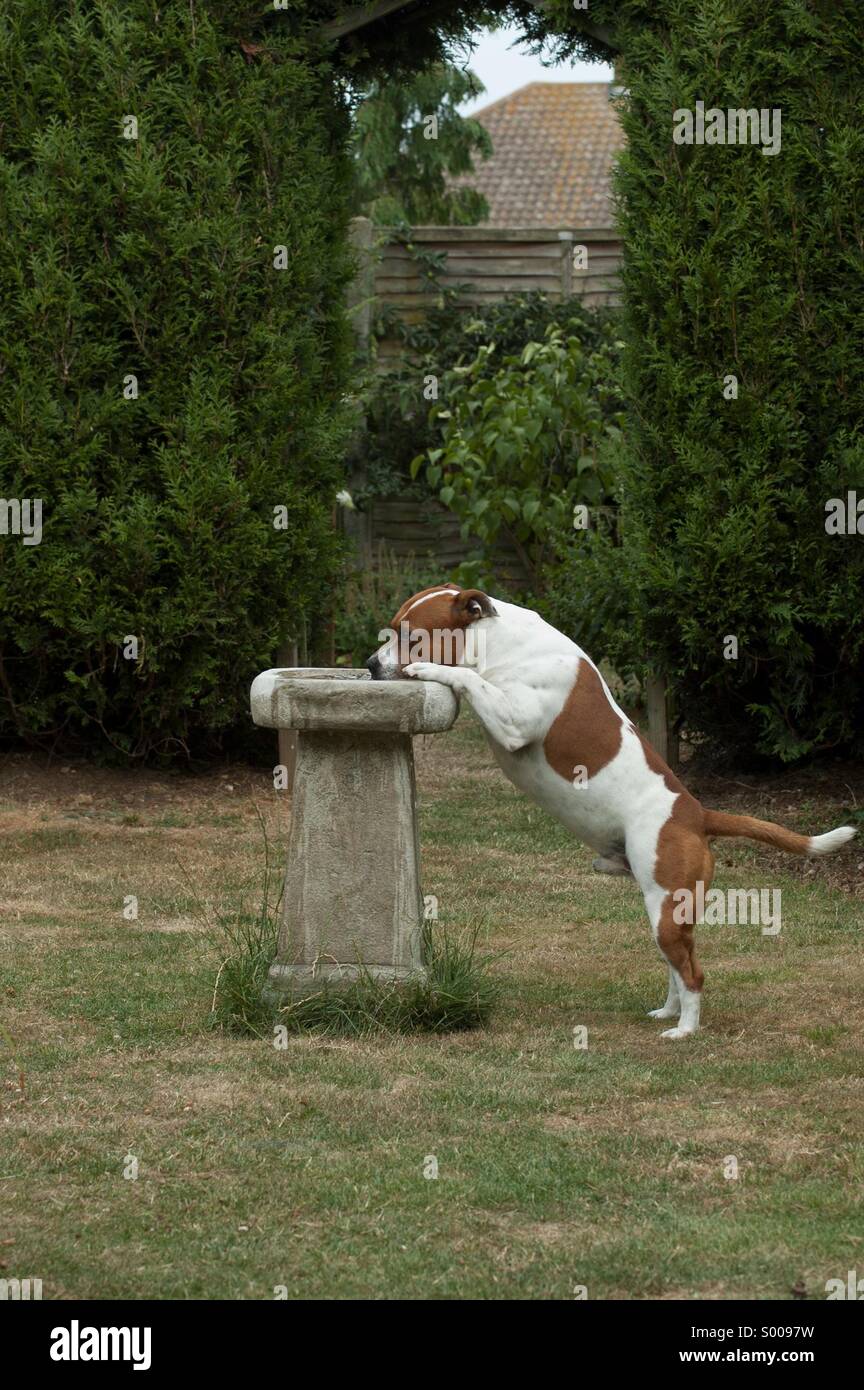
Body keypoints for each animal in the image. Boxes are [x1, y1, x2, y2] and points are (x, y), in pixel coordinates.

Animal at [366, 583, 861, 1034]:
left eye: (411, 636)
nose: (370, 665)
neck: (498, 641)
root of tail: (696, 815)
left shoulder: (513, 722)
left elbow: (469, 679)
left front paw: (428, 667)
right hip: (666, 915)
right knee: (677, 966)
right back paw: (669, 1012)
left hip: (667, 908)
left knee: (693, 973)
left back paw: (685, 1030)